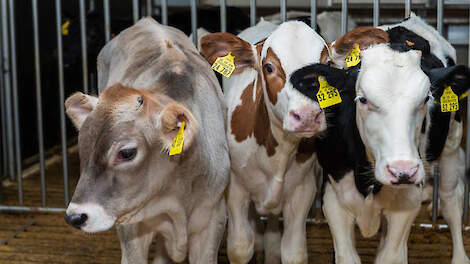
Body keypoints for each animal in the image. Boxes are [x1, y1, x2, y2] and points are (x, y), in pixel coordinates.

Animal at [290, 13, 470, 264]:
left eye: (426, 99)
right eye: (362, 99)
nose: (403, 170)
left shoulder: (407, 203)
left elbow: (390, 256)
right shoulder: (333, 199)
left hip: (451, 145)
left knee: (451, 199)